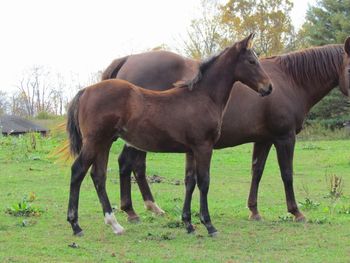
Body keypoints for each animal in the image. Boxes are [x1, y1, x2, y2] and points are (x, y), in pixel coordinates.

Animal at [66, 34, 274, 238]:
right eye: (252, 61)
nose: (269, 87)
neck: (203, 96)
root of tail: (86, 90)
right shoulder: (204, 146)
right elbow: (204, 182)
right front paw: (209, 225)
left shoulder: (191, 150)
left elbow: (190, 181)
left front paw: (188, 224)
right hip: (94, 141)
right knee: (78, 171)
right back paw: (76, 225)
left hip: (105, 142)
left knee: (98, 176)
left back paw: (115, 224)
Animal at [102, 36, 350, 223]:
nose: (267, 88)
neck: (289, 81)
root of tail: (127, 60)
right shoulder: (284, 137)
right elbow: (287, 173)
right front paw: (296, 212)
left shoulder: (264, 139)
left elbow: (257, 171)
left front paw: (254, 210)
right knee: (128, 164)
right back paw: (133, 211)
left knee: (134, 166)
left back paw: (146, 208)